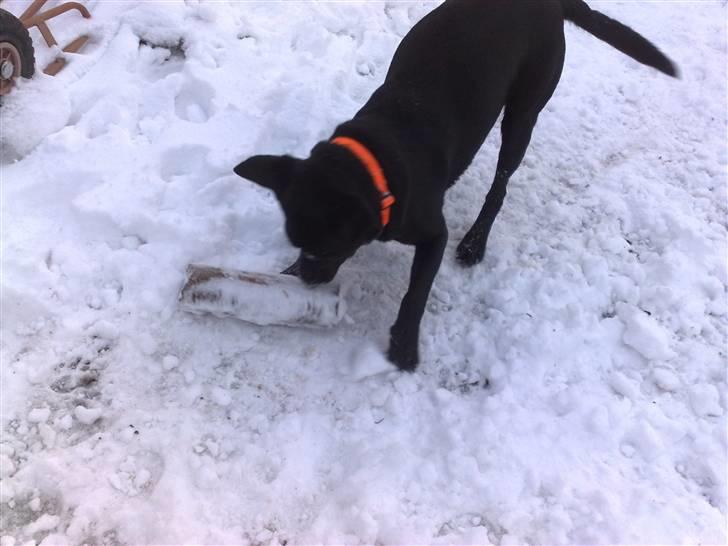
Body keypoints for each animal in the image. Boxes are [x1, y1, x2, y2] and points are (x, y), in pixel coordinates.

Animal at [236, 0, 680, 370]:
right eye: (298, 245)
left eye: (330, 247)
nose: (307, 279)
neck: (376, 158)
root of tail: (551, 1)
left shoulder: (433, 233)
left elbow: (416, 293)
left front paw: (404, 346)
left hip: (523, 111)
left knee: (500, 184)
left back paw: (475, 241)